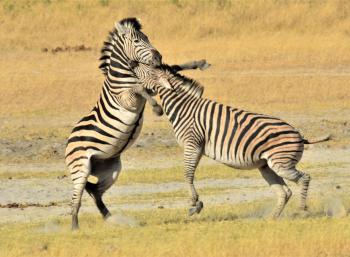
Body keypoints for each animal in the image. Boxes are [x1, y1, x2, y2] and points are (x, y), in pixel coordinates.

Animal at [64, 18, 209, 230]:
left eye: (147, 38)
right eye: (136, 41)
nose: (158, 56)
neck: (126, 76)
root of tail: (69, 141)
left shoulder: (152, 82)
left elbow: (172, 67)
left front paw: (199, 63)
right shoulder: (127, 99)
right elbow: (140, 88)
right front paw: (157, 108)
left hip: (110, 169)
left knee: (95, 191)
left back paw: (110, 218)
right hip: (80, 167)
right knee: (77, 199)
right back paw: (75, 227)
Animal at [130, 63, 330, 217]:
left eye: (144, 69)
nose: (131, 65)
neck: (183, 107)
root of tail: (300, 135)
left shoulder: (192, 143)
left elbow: (187, 174)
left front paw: (194, 204)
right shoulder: (198, 147)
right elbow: (190, 174)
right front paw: (197, 203)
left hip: (281, 164)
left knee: (304, 178)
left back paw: (301, 211)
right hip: (266, 166)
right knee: (285, 192)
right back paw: (271, 218)